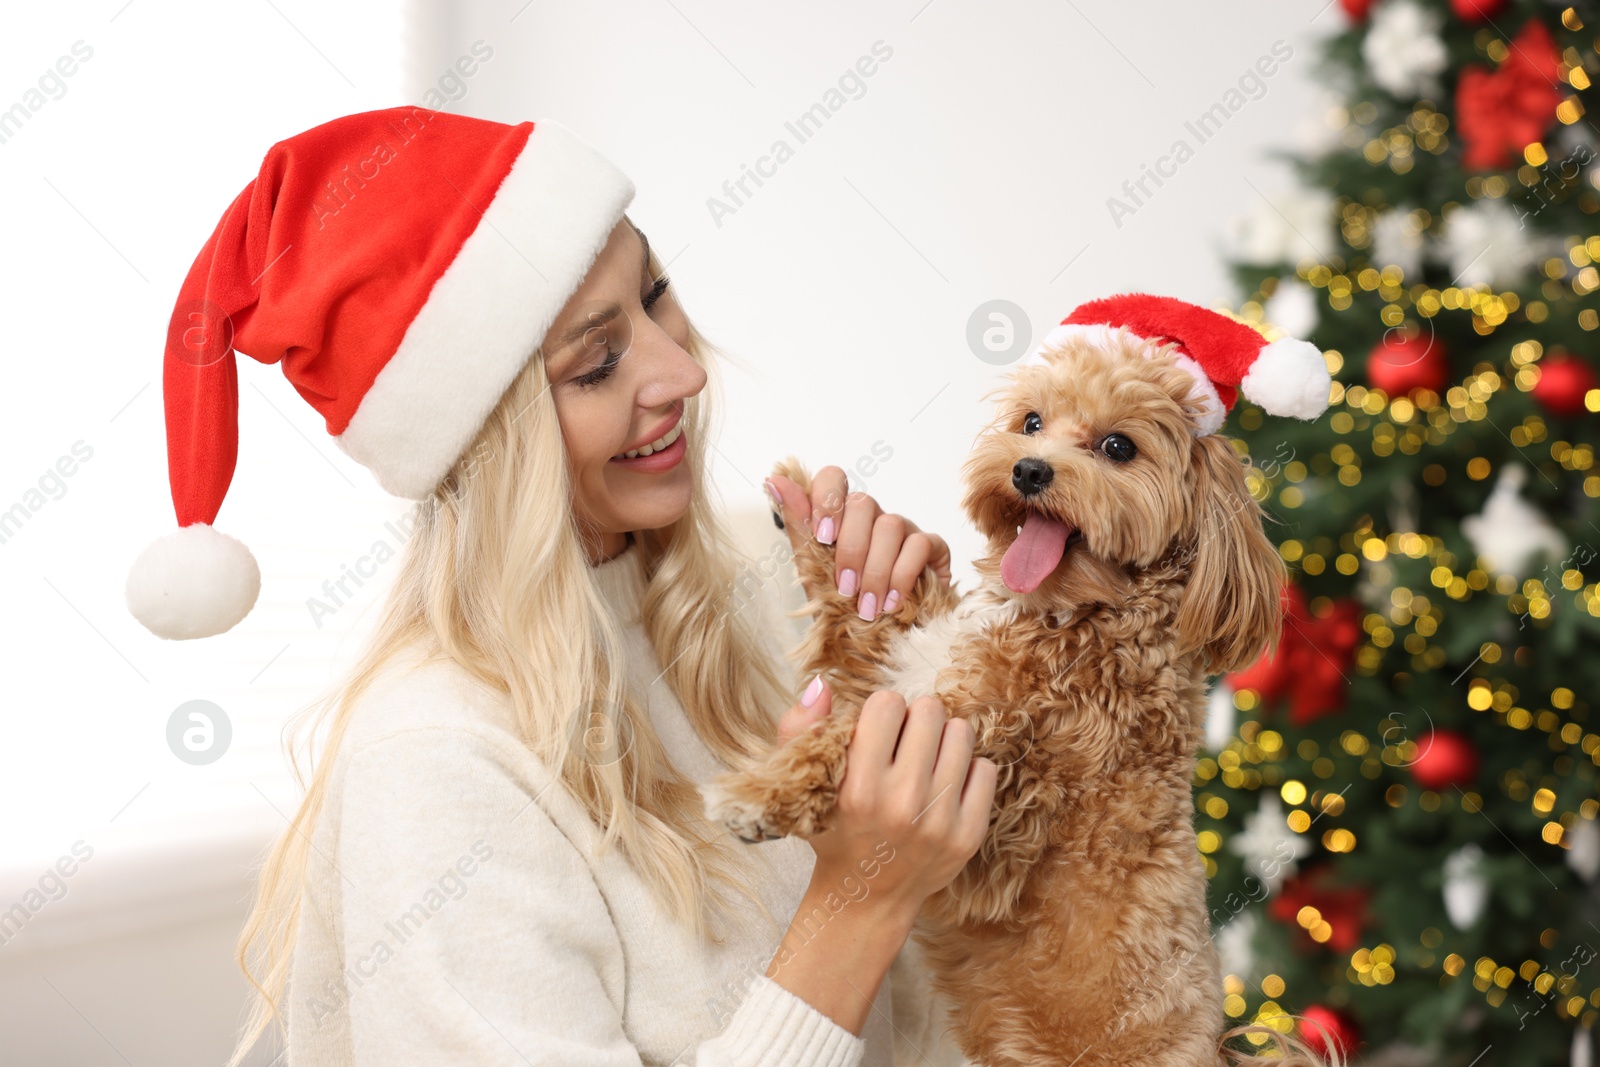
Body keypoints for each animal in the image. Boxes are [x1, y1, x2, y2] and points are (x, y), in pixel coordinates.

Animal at [707, 329, 1331, 1062]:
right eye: (1032, 423)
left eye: (1118, 446)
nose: (1030, 471)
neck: (1074, 615)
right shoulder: (908, 664)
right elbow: (870, 618)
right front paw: (809, 506)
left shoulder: (1001, 785)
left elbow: (843, 737)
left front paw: (759, 794)